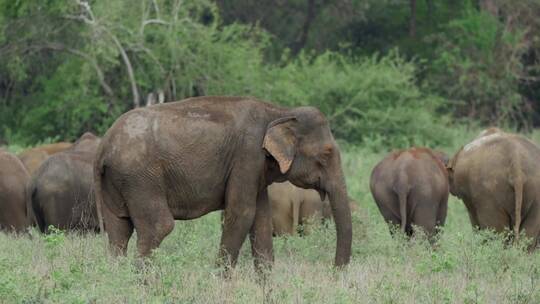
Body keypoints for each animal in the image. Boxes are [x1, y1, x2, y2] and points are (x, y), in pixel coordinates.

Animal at [95, 95, 352, 268]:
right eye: (327, 154)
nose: (334, 272)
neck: (280, 112)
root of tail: (104, 146)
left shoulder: (255, 170)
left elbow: (260, 220)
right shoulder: (247, 157)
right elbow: (242, 213)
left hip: (117, 182)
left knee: (119, 231)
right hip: (140, 178)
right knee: (158, 226)